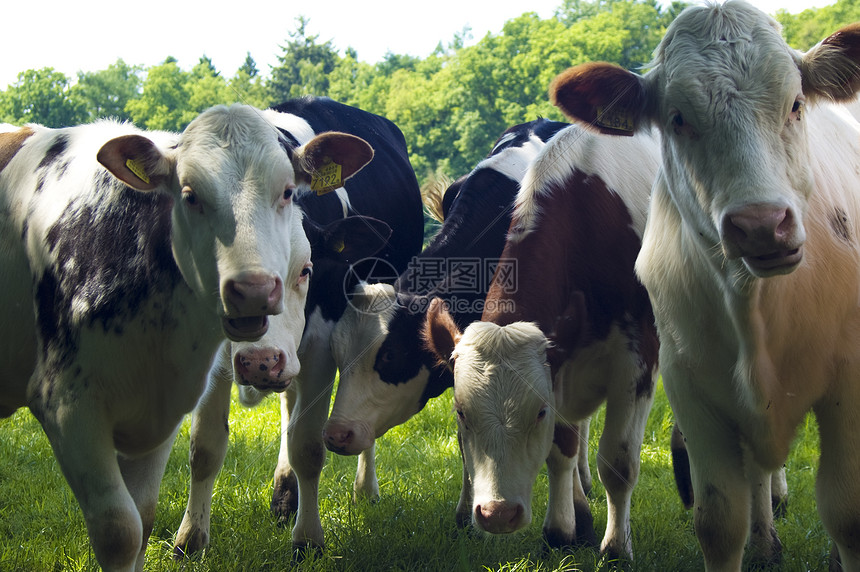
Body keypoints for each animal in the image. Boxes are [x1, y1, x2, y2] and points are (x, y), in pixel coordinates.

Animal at [0, 104, 370, 572]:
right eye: (189, 195)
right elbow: (122, 530)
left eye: (288, 191)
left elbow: (143, 517)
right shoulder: (67, 407)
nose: (252, 290)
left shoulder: (163, 407)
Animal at [174, 97, 424, 556]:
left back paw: (364, 489)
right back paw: (283, 494)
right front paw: (191, 538)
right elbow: (205, 447)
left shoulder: (322, 344)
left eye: (306, 269)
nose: (260, 361)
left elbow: (308, 445)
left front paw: (308, 539)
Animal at [424, 122, 660, 560]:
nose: (498, 514)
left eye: (538, 412)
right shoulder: (561, 364)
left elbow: (618, 463)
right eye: (461, 413)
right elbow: (561, 448)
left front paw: (615, 548)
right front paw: (564, 530)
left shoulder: (637, 362)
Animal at [548, 2, 860, 568]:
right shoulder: (690, 386)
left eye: (796, 103)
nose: (761, 224)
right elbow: (718, 522)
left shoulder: (849, 383)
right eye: (677, 118)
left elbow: (847, 512)